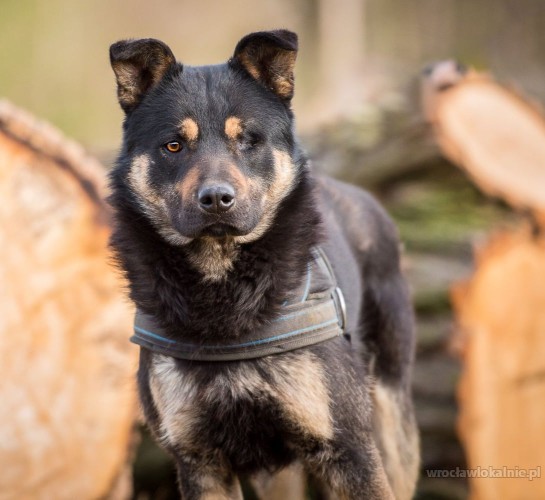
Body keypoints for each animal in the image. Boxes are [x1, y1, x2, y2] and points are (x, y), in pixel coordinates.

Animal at [108, 29, 418, 498]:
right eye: (173, 145)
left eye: (249, 140)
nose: (217, 199)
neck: (222, 292)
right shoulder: (199, 462)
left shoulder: (349, 449)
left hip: (392, 417)